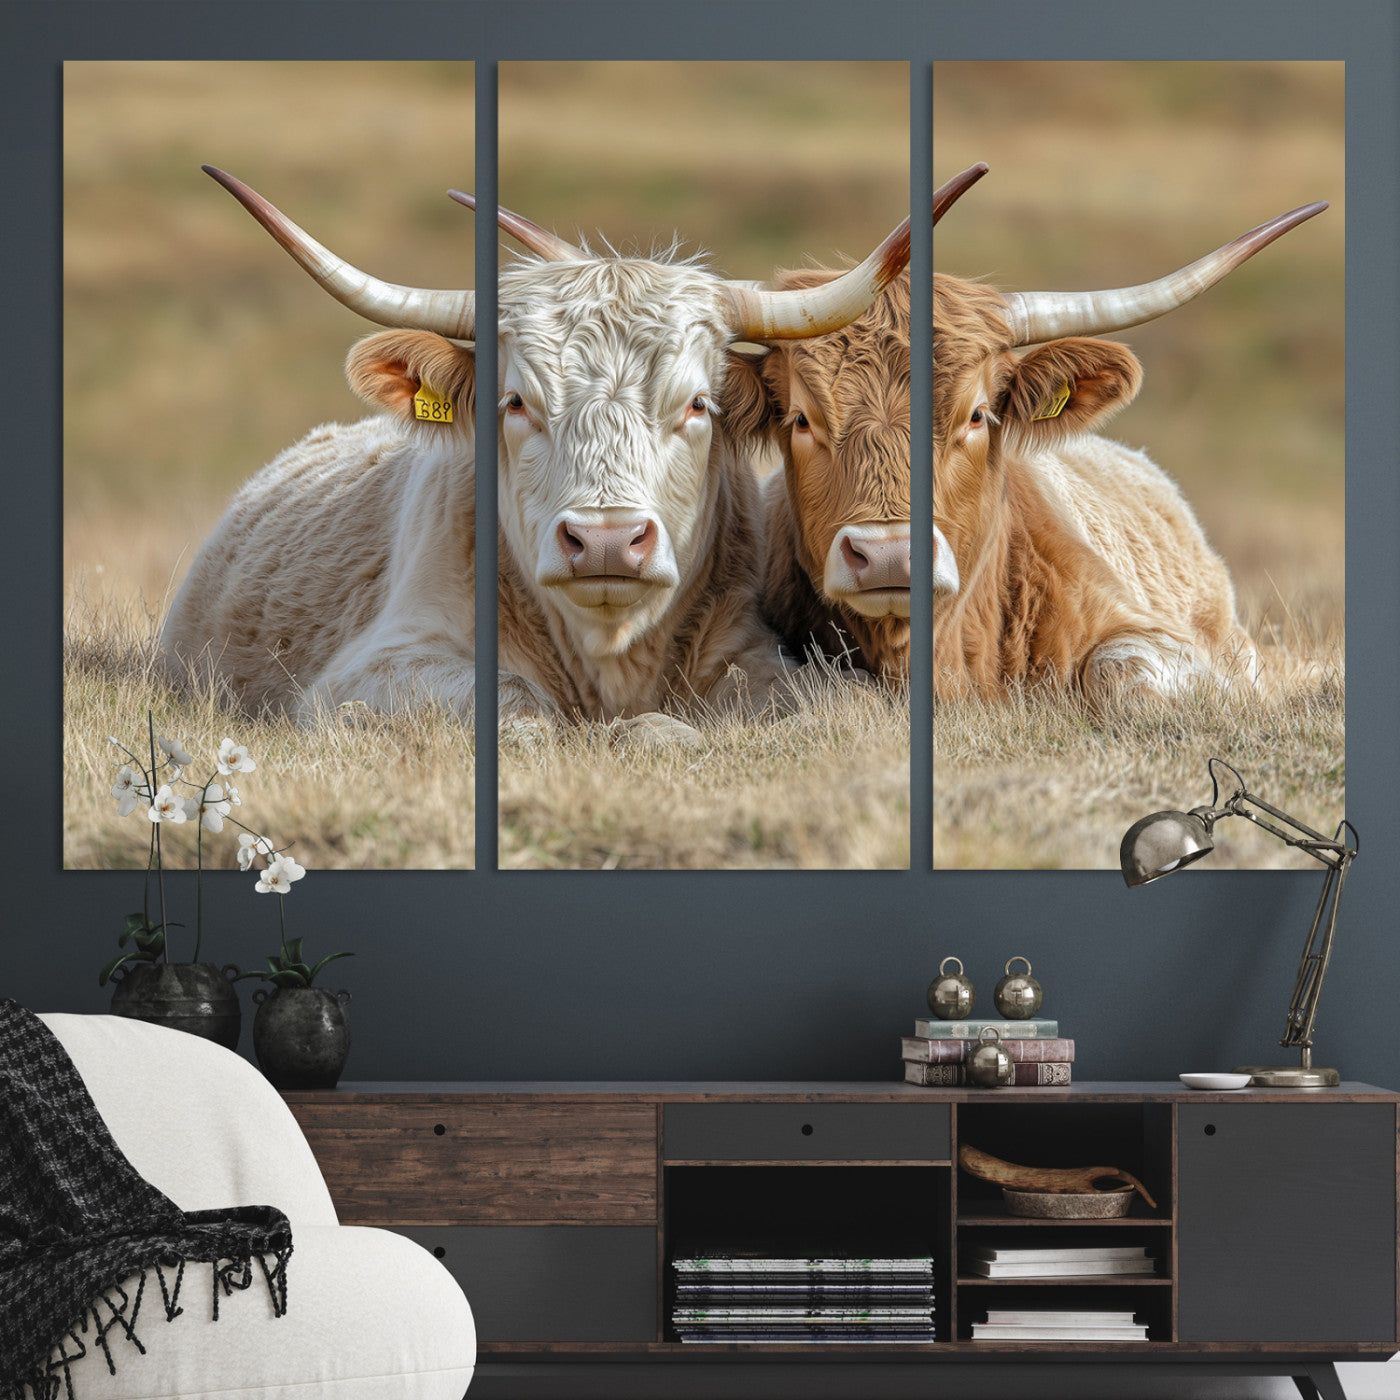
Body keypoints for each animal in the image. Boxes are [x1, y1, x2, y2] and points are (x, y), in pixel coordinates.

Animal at [161, 167, 911, 738]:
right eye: (517, 402)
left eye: (698, 404)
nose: (606, 541)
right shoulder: (378, 666)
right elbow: (517, 707)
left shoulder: (756, 652)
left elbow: (833, 704)